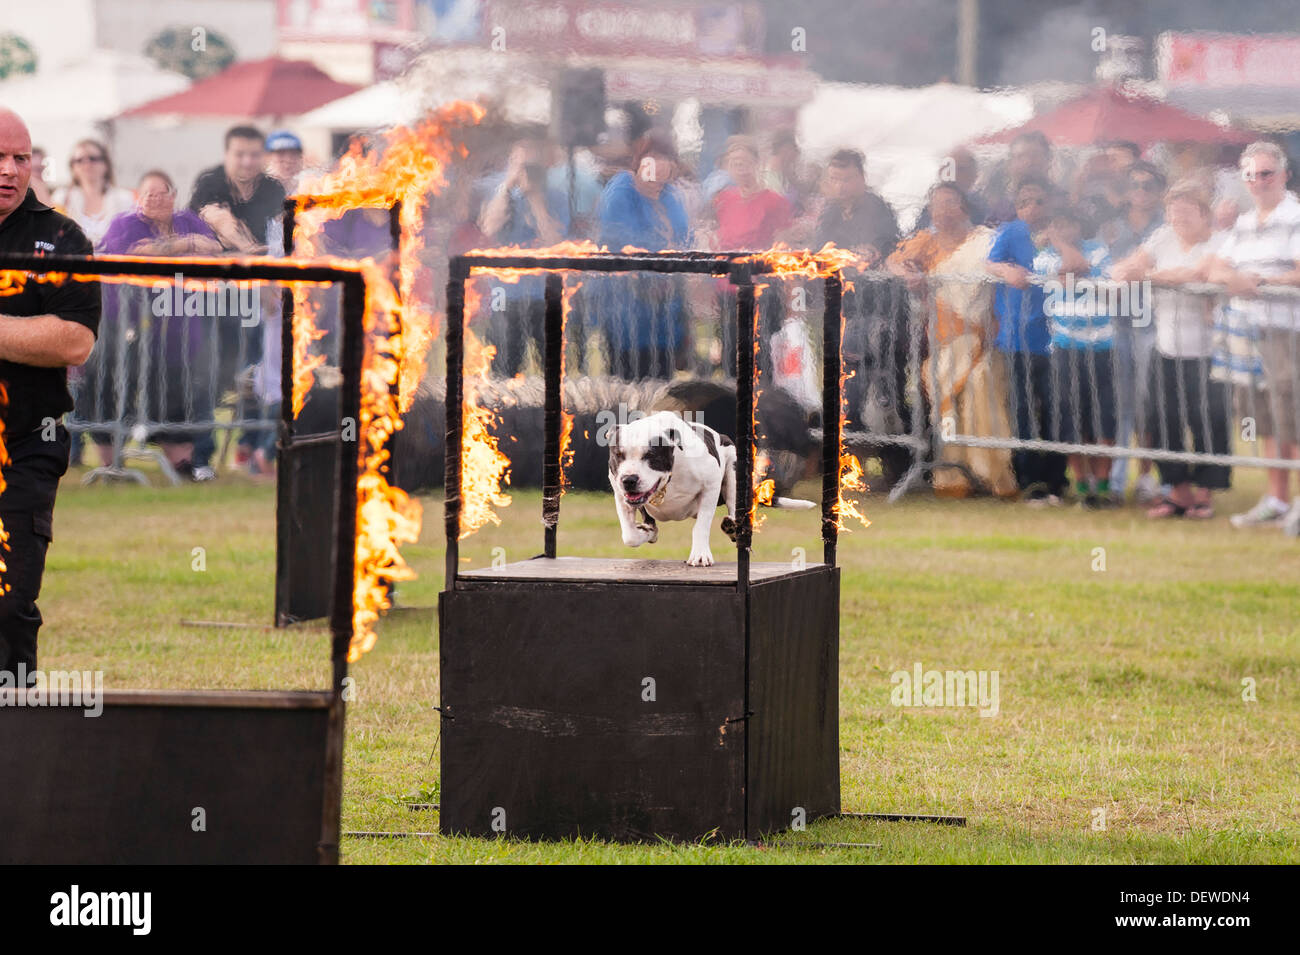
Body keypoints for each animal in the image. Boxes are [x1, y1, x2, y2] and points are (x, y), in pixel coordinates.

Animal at [603, 413, 806, 566]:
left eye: (651, 455)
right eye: (618, 455)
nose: (629, 479)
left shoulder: (710, 486)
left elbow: (701, 526)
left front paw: (700, 554)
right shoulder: (621, 495)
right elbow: (629, 535)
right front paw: (645, 533)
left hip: (734, 469)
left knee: (734, 507)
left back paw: (733, 527)